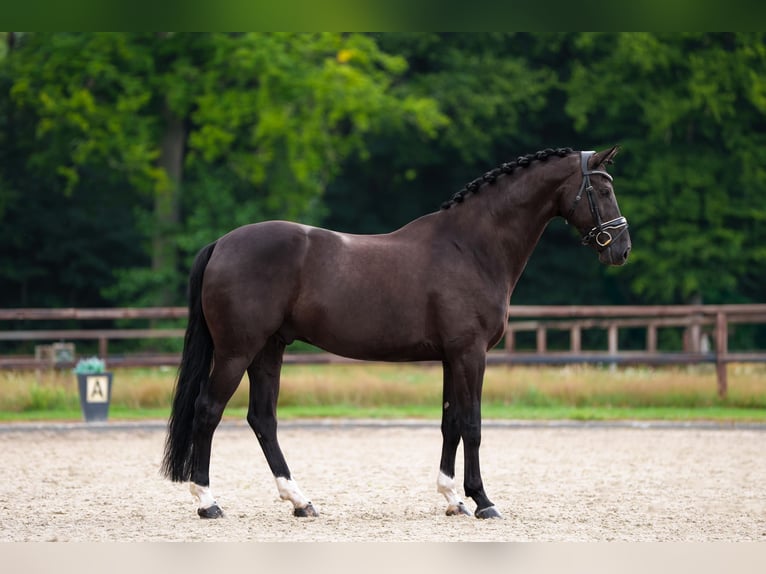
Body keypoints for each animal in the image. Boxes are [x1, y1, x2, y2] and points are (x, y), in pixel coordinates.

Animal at [162, 146, 631, 520]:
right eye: (603, 190)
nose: (622, 250)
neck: (470, 247)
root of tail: (222, 244)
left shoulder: (451, 357)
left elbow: (450, 422)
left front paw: (452, 499)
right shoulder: (471, 354)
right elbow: (473, 424)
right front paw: (482, 501)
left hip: (268, 350)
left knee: (262, 419)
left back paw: (300, 501)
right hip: (236, 351)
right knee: (209, 411)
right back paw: (208, 503)